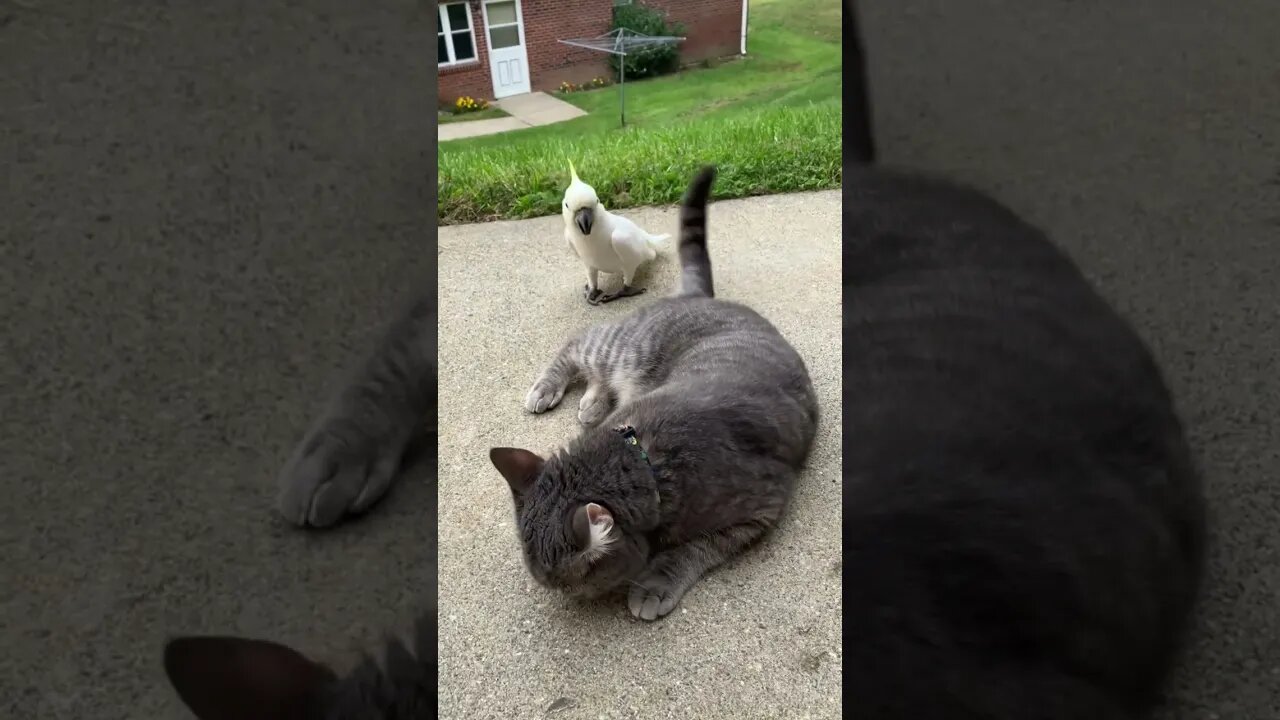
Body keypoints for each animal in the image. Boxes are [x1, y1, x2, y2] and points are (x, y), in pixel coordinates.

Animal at [488, 165, 819, 620]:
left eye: (566, 583)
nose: (560, 596)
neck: (646, 459)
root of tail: (699, 296)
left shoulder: (761, 508)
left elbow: (697, 547)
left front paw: (655, 582)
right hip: (623, 351)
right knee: (579, 349)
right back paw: (561, 393)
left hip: (626, 348)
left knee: (583, 349)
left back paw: (587, 401)